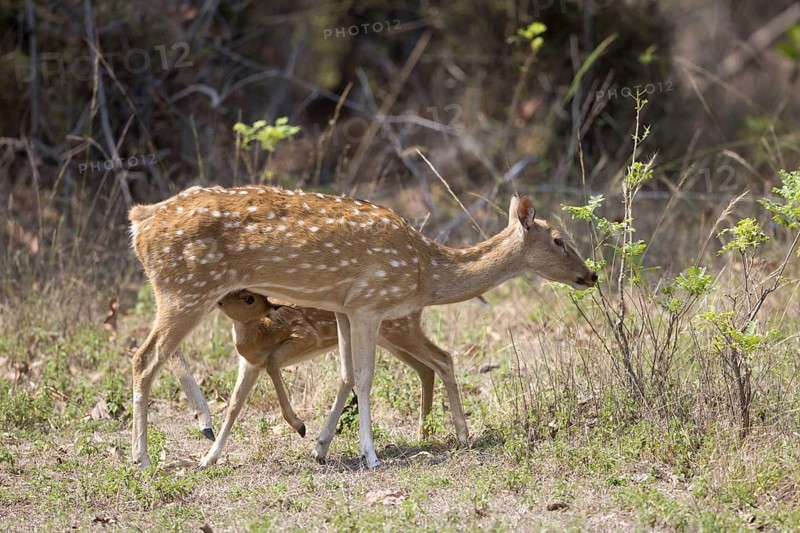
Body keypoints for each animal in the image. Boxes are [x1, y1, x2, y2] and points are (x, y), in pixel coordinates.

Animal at [196, 290, 466, 468]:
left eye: (249, 298)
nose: (218, 299)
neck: (260, 331)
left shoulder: (305, 336)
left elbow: (272, 365)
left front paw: (299, 425)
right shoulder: (250, 363)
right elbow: (234, 405)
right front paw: (207, 459)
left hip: (399, 329)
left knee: (443, 358)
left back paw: (459, 435)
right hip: (388, 336)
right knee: (425, 369)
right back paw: (423, 433)